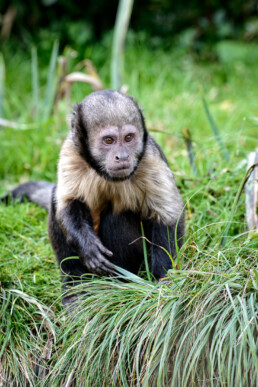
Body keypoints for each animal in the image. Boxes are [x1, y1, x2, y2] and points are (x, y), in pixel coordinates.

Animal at [1, 91, 184, 304]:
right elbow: (67, 203)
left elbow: (168, 217)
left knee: (116, 217)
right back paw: (76, 284)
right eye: (109, 140)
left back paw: (120, 281)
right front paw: (87, 247)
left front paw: (162, 281)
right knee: (57, 202)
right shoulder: (70, 151)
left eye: (129, 138)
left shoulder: (150, 159)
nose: (122, 156)